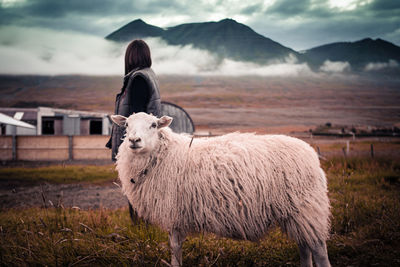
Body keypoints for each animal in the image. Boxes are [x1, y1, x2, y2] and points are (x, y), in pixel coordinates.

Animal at [110, 113, 332, 267]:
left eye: (153, 125)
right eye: (127, 125)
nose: (134, 141)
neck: (162, 154)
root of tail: (312, 155)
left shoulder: (173, 211)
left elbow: (174, 248)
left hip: (307, 208)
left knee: (318, 249)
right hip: (294, 213)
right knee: (304, 247)